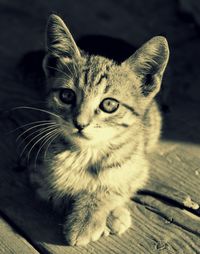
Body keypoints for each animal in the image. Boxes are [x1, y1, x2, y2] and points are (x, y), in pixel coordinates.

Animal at [27, 14, 169, 246]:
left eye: (109, 104)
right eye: (67, 95)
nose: (80, 123)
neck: (87, 153)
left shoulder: (138, 165)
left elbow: (117, 186)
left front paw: (97, 214)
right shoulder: (38, 174)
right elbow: (58, 190)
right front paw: (85, 216)